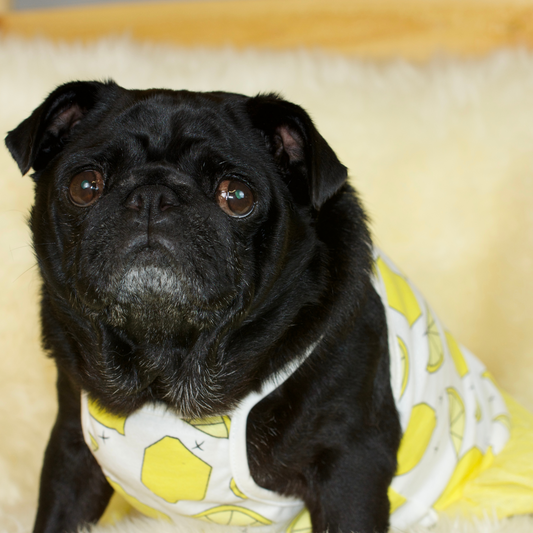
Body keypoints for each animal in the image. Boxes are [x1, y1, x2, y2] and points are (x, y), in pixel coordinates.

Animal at [3, 80, 512, 532]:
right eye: (85, 185)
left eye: (237, 196)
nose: (152, 196)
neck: (165, 367)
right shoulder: (72, 451)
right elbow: (57, 517)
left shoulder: (351, 466)